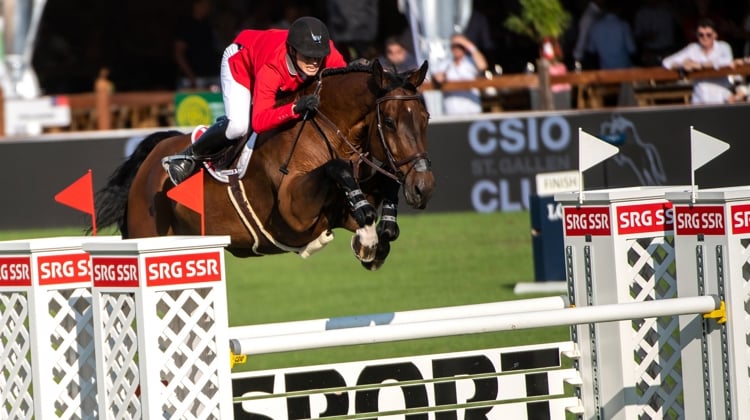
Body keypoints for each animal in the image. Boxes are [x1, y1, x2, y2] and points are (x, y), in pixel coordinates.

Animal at [93, 58, 434, 270]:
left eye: (426, 118)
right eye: (388, 122)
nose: (423, 187)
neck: (324, 130)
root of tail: (148, 163)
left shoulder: (339, 209)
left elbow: (381, 187)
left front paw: (377, 235)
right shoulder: (294, 213)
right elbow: (337, 170)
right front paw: (368, 235)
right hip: (148, 236)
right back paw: (180, 166)